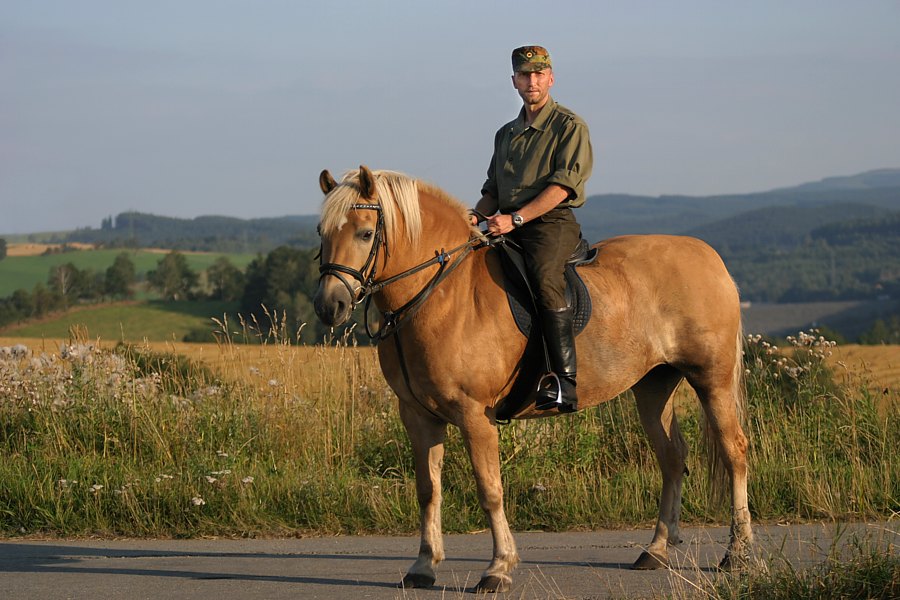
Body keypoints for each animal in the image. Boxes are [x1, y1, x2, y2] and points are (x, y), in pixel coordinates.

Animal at [312, 166, 748, 592]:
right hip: (654, 385)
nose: (329, 306)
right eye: (322, 232)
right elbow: (427, 490)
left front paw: (498, 568)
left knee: (734, 453)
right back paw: (655, 551)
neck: (443, 294)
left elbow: (489, 489)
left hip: (712, 379)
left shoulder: (475, 415)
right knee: (672, 458)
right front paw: (423, 565)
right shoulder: (418, 416)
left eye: (365, 233)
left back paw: (737, 553)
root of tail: (709, 257)